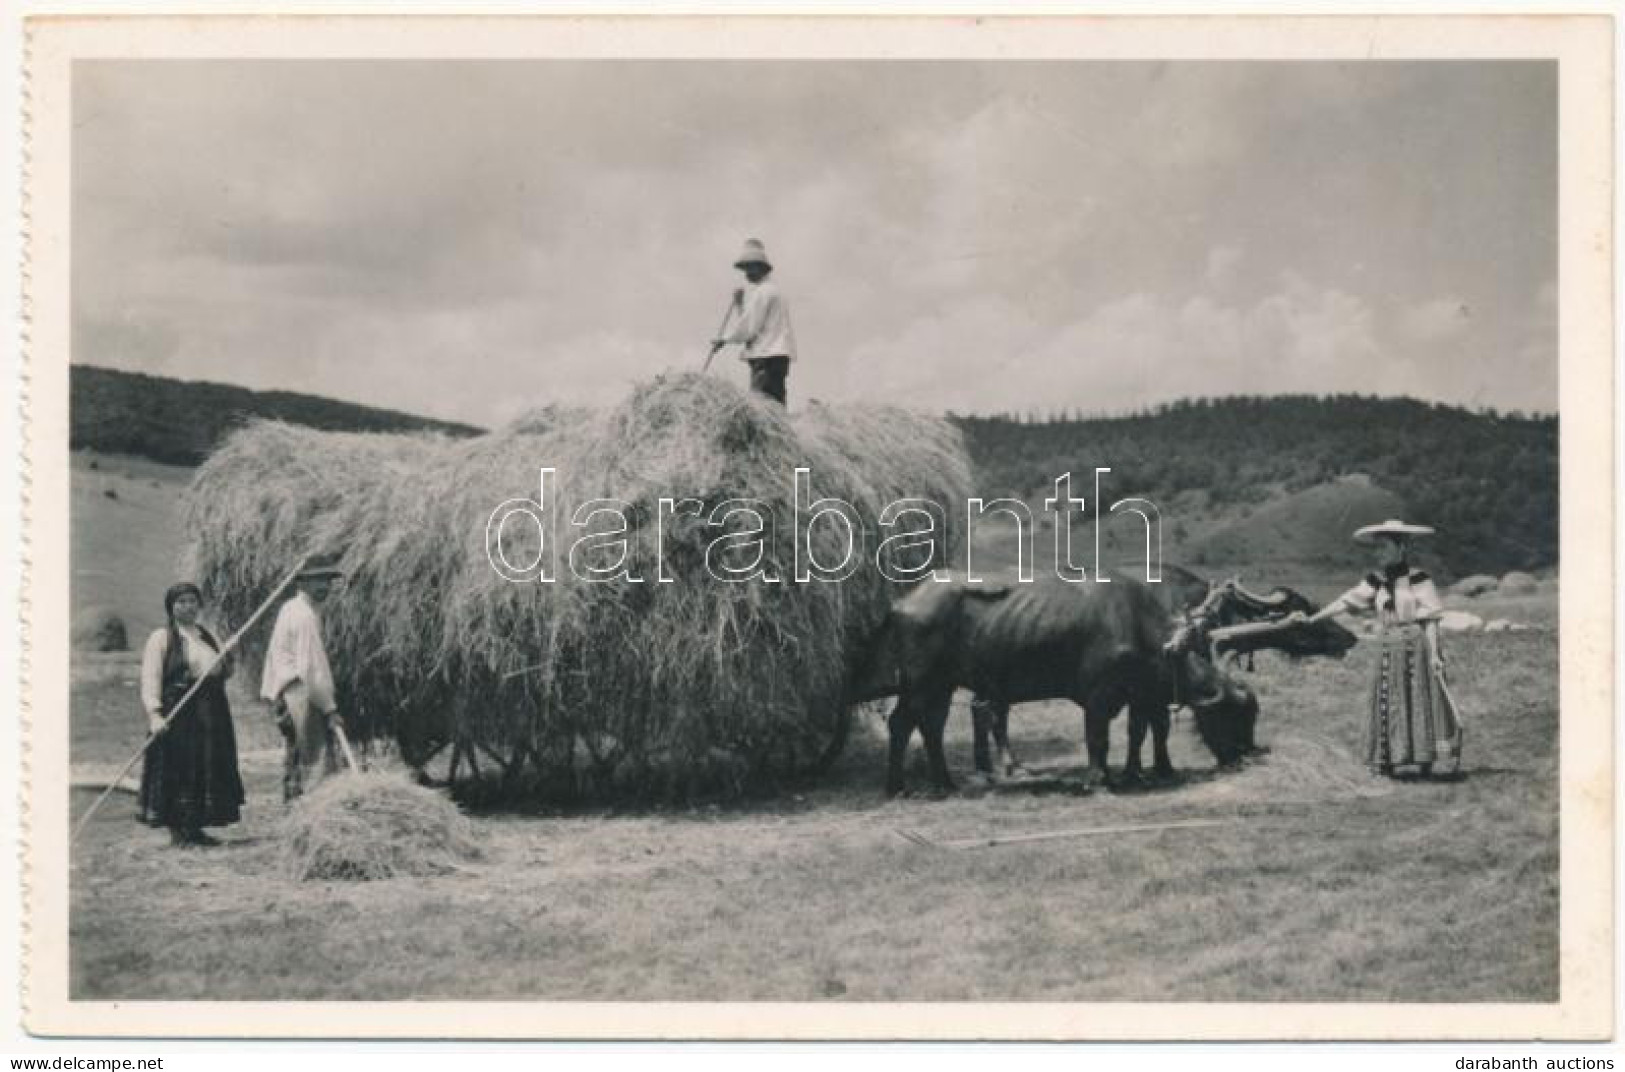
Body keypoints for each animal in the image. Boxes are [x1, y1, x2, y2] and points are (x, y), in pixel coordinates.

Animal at [845, 568, 1261, 795]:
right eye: (1233, 716)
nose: (1245, 756)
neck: (1139, 628)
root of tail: (904, 603)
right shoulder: (1099, 697)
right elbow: (1098, 738)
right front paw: (1100, 778)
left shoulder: (1137, 694)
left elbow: (1139, 731)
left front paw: (1134, 773)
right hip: (919, 684)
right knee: (902, 724)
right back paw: (898, 786)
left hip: (940, 686)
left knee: (931, 727)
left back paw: (945, 782)